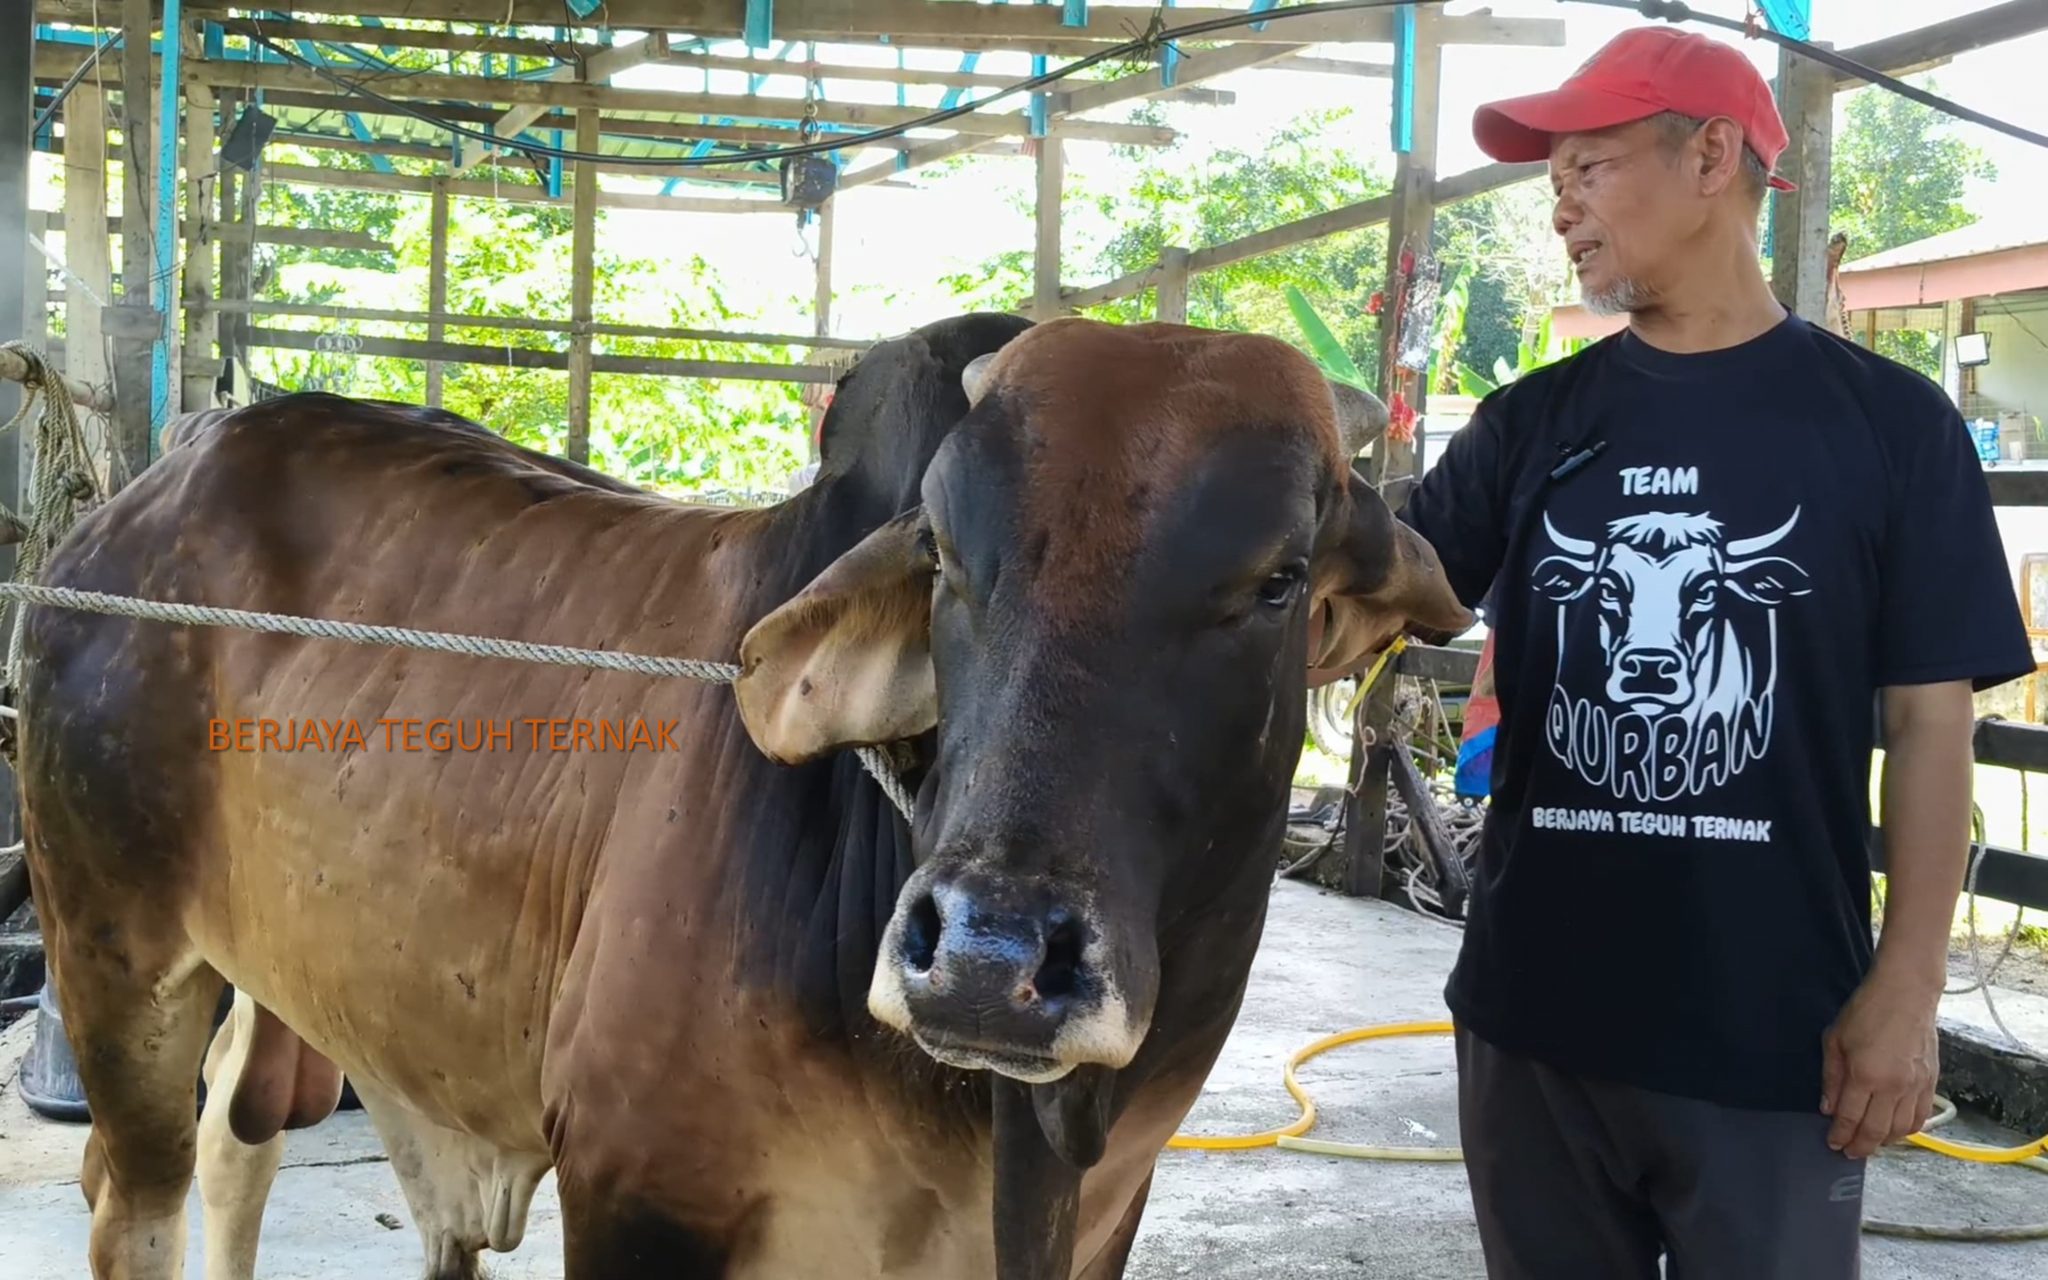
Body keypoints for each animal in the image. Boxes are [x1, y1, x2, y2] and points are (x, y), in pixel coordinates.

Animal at [15, 312, 1469, 1280]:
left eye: (1277, 580)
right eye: (944, 554)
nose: (989, 959)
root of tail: (150, 494)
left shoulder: (1106, 1209)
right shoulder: (640, 1197)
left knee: (238, 1146)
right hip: (114, 950)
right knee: (136, 1191)